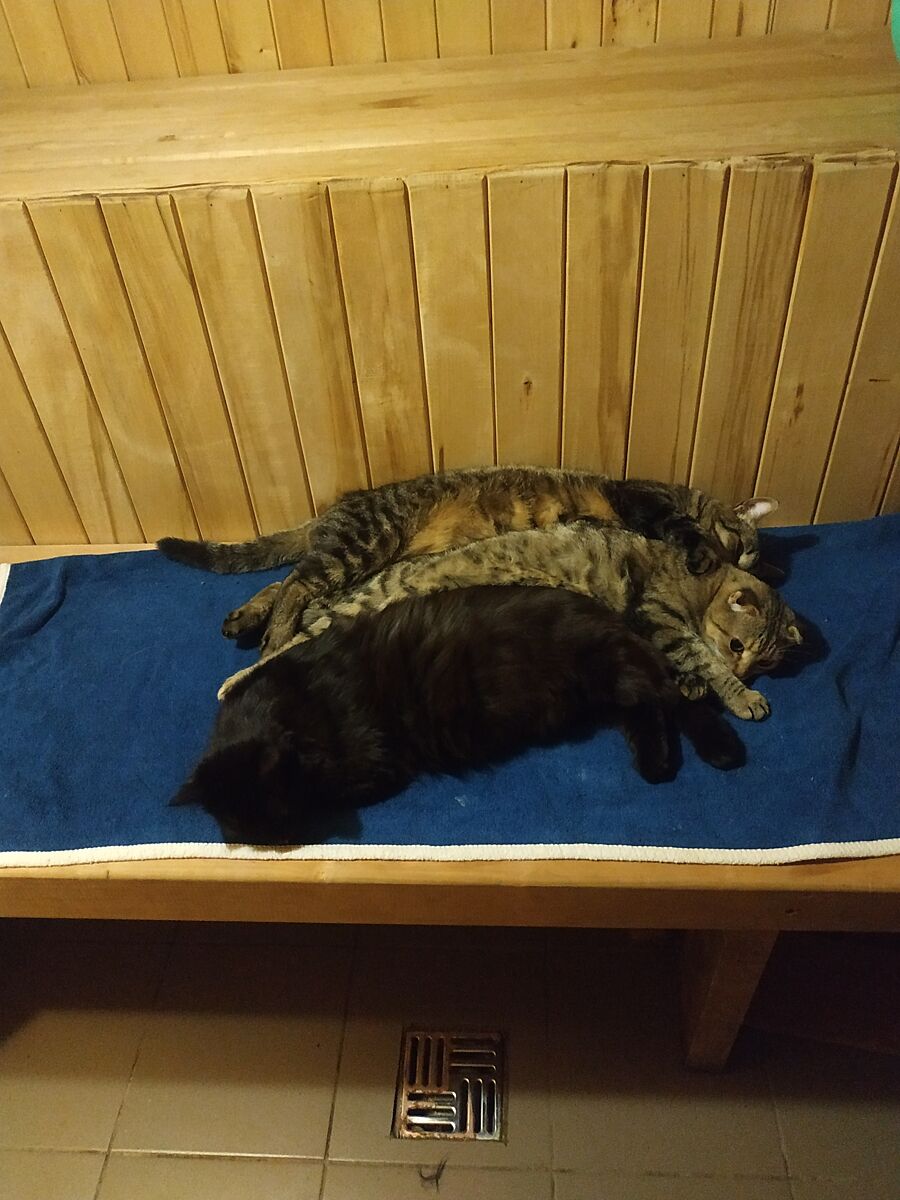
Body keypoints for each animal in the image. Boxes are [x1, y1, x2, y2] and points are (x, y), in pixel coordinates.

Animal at [156, 466, 777, 653]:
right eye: (746, 545)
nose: (747, 560)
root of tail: (334, 510)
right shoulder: (640, 500)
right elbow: (682, 530)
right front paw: (700, 550)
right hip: (365, 543)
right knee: (294, 587)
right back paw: (275, 635)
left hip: (357, 560)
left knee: (290, 580)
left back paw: (246, 620)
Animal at [175, 585, 745, 845]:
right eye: (244, 824)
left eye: (276, 810)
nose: (278, 839)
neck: (291, 709)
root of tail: (612, 615)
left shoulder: (372, 767)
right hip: (610, 692)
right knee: (656, 707)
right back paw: (663, 762)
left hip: (610, 671)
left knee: (672, 699)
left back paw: (699, 757)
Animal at [219, 521, 803, 721]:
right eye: (738, 647)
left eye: (764, 662)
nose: (748, 671)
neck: (699, 583)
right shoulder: (661, 617)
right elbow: (702, 661)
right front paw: (740, 695)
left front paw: (701, 687)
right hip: (366, 603)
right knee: (289, 640)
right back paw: (237, 678)